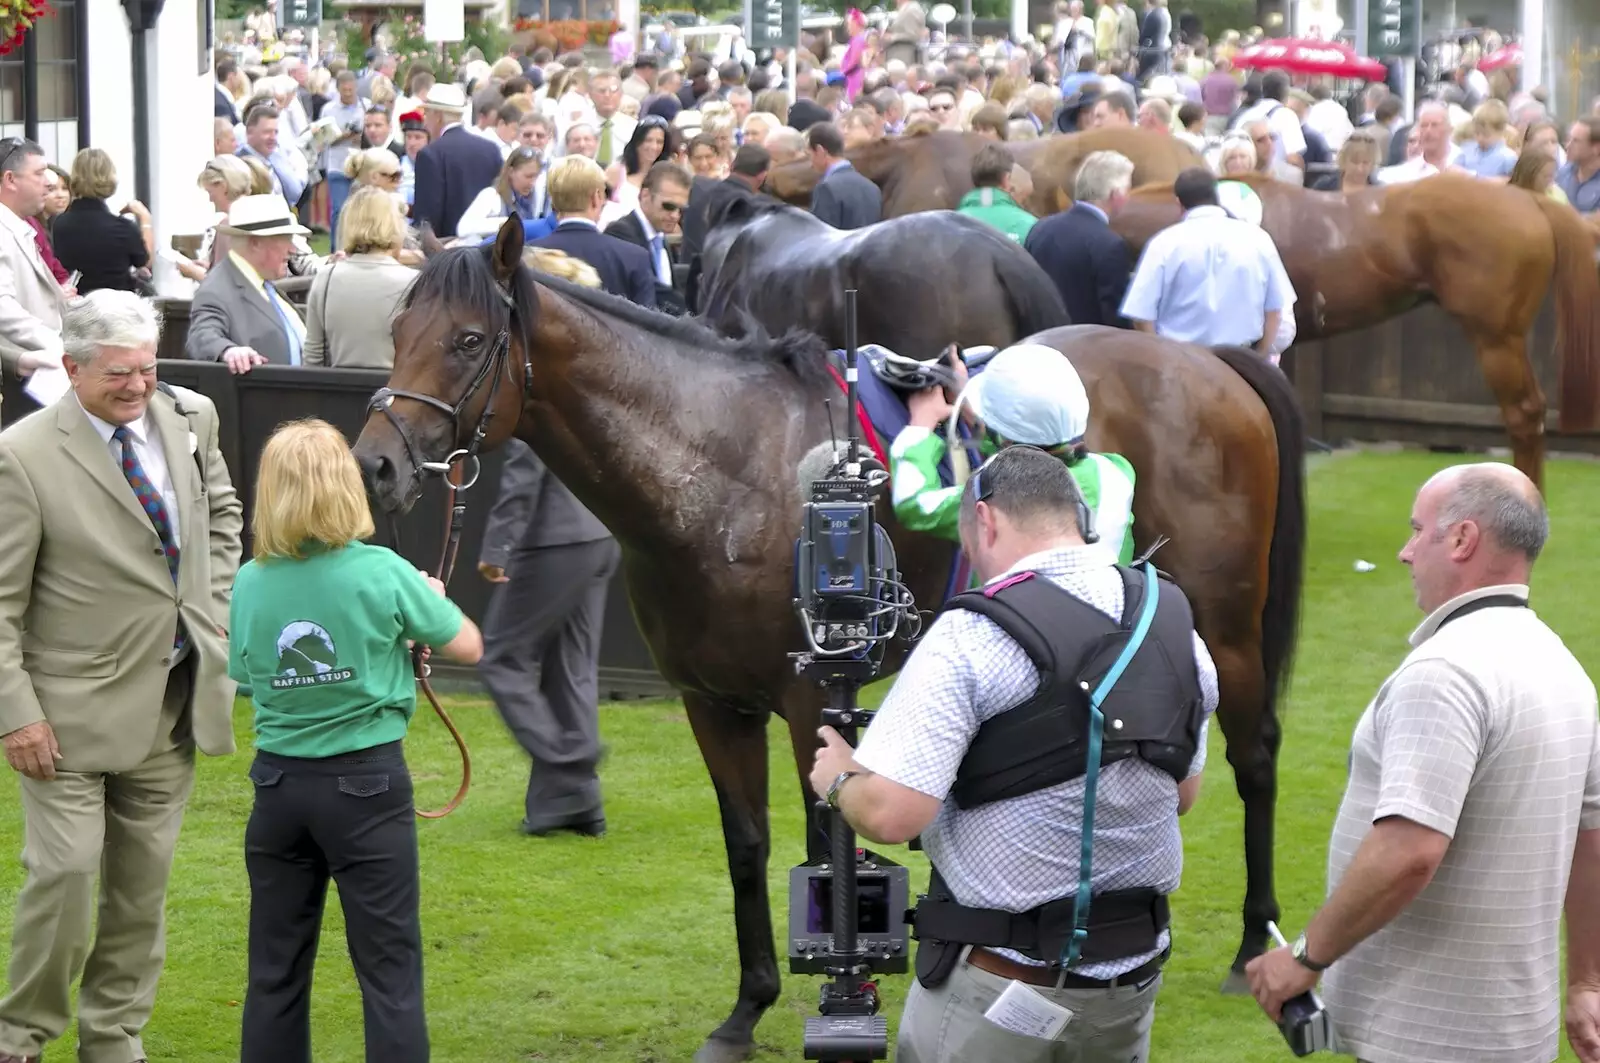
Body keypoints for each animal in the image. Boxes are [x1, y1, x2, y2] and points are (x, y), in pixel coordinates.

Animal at [356, 219, 1305, 1056]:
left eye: (469, 340)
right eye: (398, 330)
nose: (376, 464)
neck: (719, 467)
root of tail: (1202, 359)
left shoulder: (810, 694)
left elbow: (828, 835)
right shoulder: (714, 703)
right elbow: (748, 846)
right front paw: (748, 1008)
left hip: (1226, 627)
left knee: (1255, 755)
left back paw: (1251, 943)